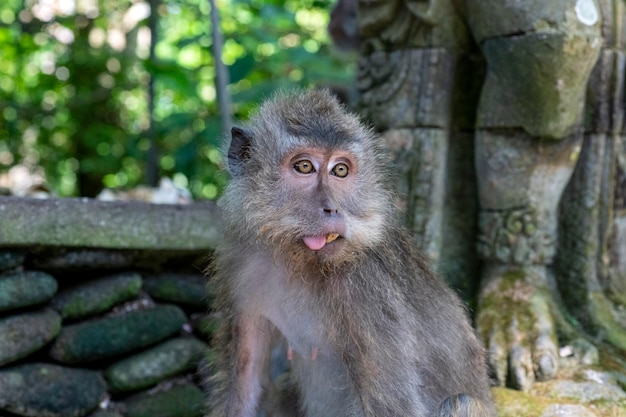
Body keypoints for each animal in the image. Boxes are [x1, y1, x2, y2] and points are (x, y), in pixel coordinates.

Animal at [207, 88, 494, 416]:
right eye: (304, 166)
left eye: (340, 170)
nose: (332, 208)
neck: (298, 262)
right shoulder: (241, 270)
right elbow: (246, 385)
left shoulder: (366, 290)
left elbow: (392, 407)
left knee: (461, 402)